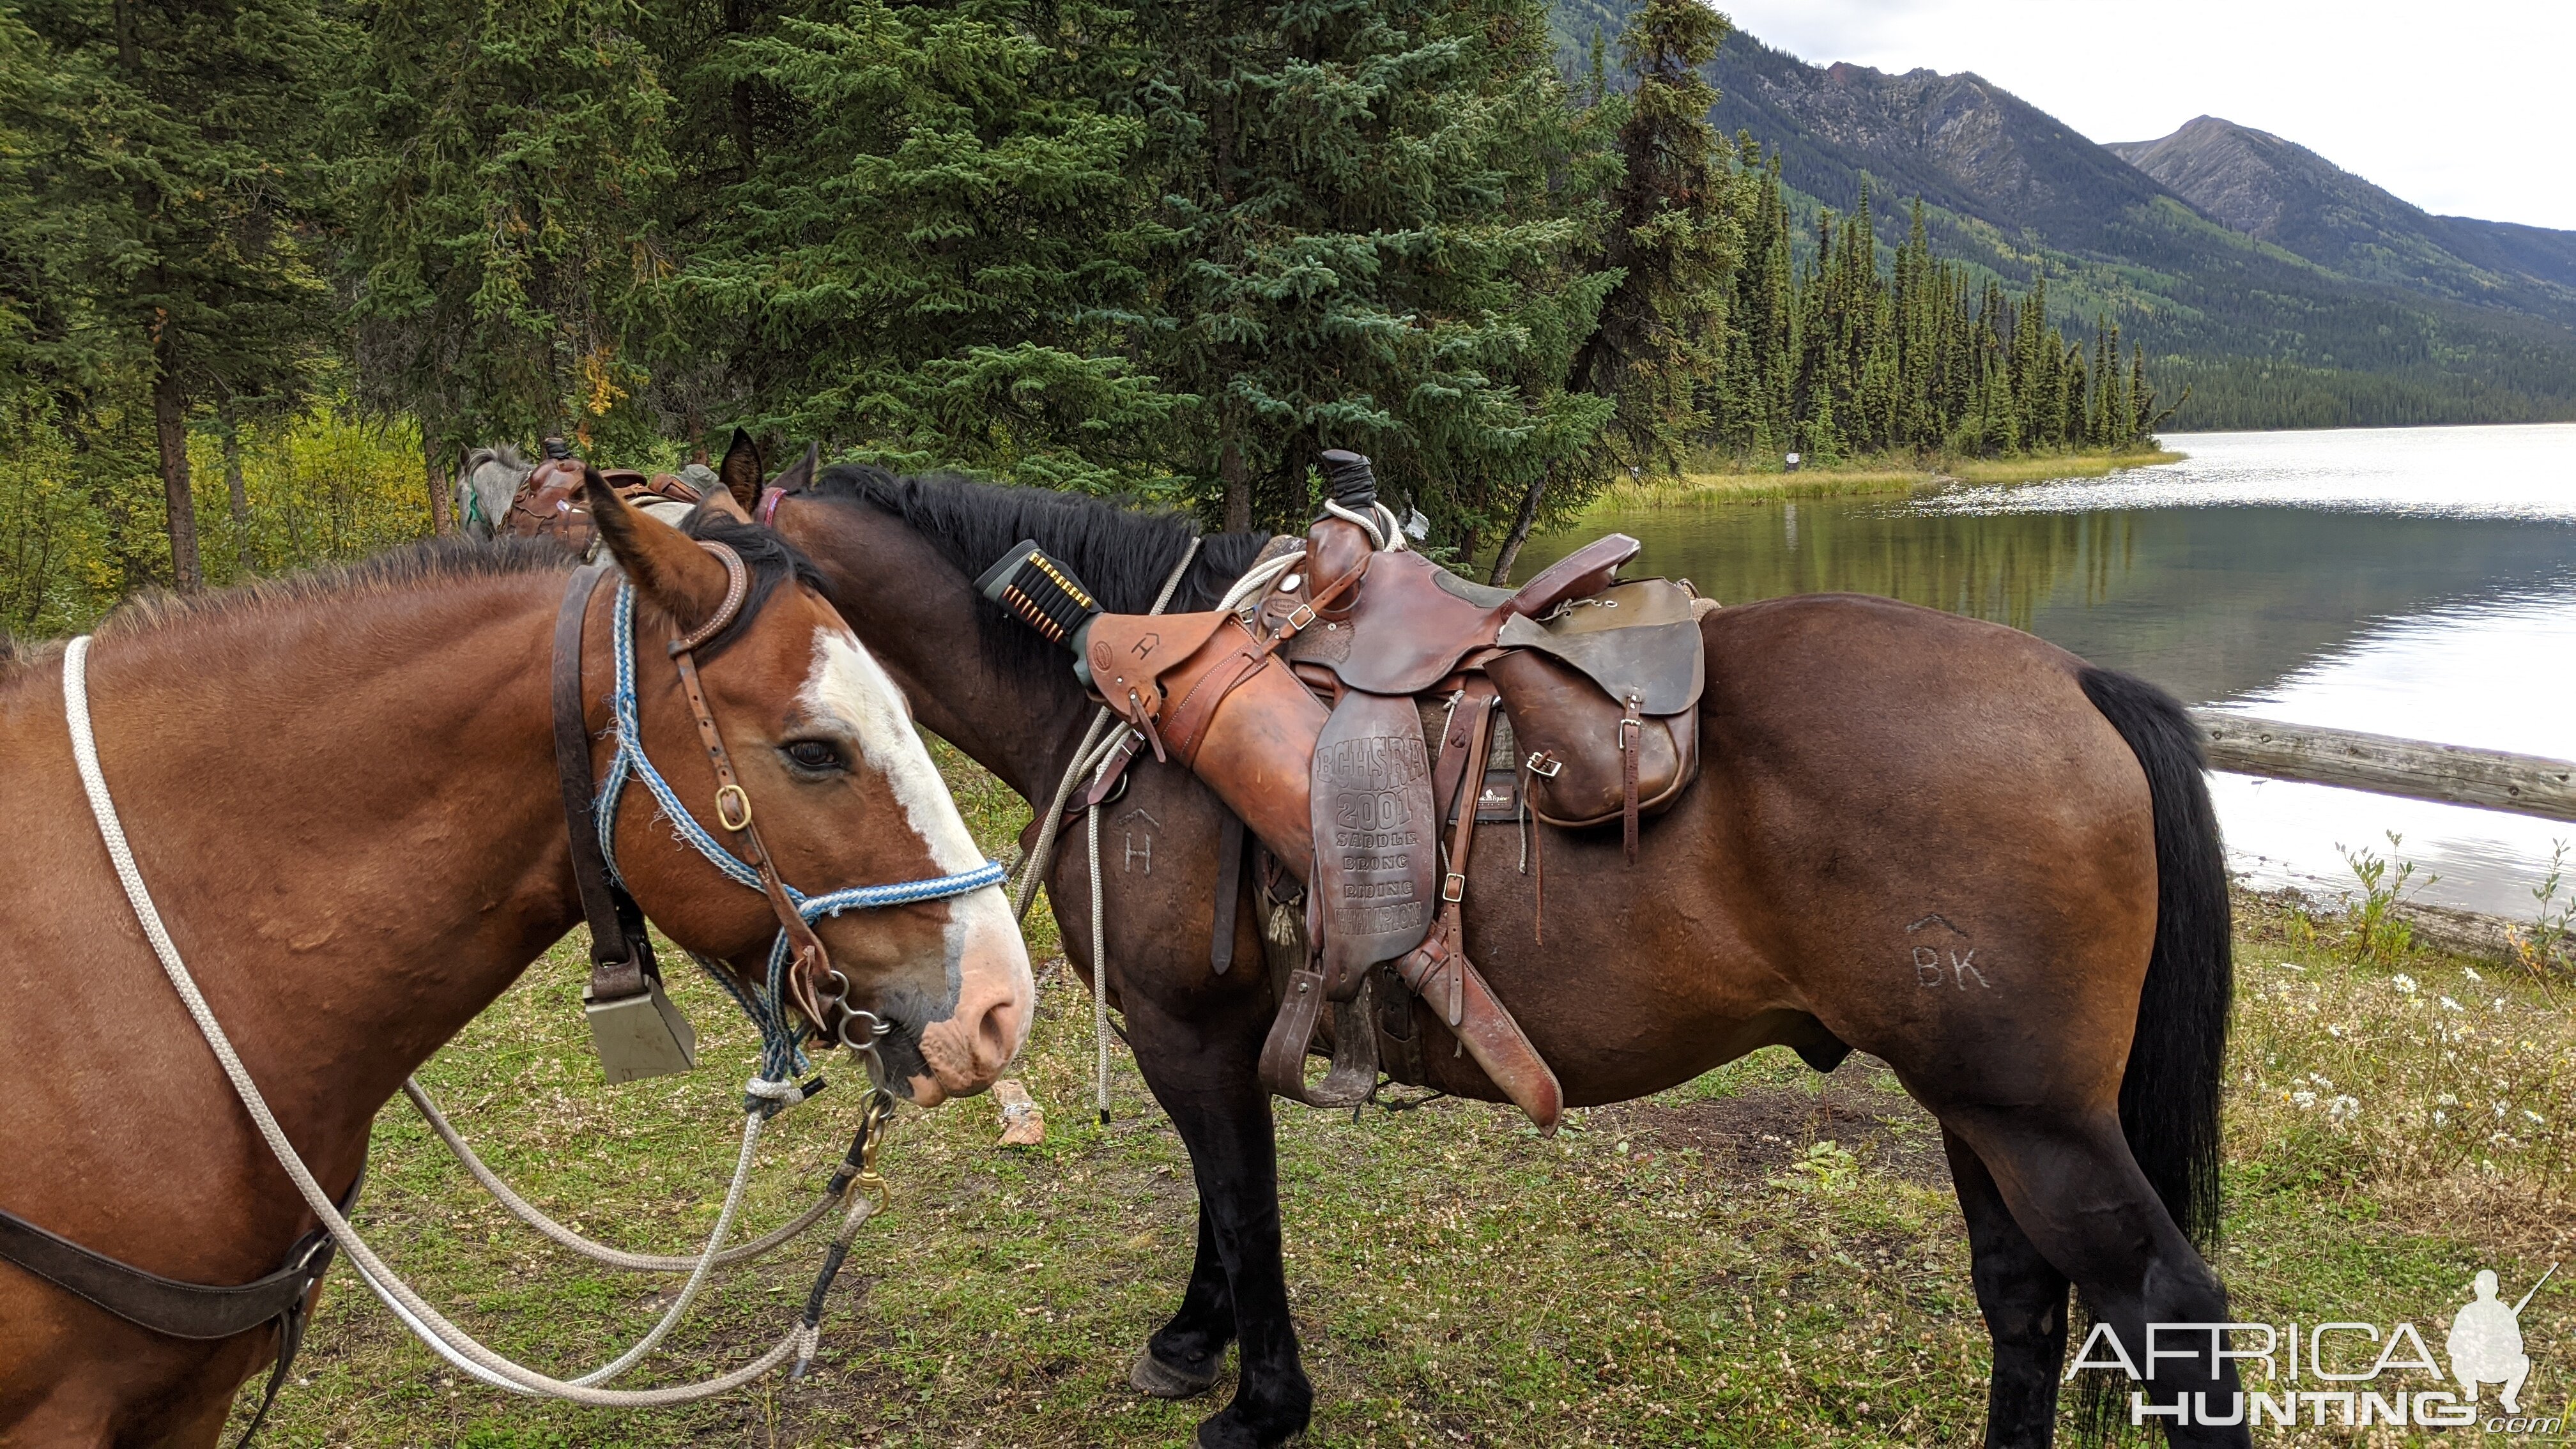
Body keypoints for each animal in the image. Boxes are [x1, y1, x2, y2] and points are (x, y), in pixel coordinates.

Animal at [752, 456, 2246, 1433]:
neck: (1112, 685)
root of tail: (2076, 682)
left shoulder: (1189, 1031)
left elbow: (1242, 1202)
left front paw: (1262, 1401)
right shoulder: (1212, 1037)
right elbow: (1222, 1209)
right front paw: (1192, 1340)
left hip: (2035, 1115)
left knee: (2171, 1318)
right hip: (1978, 1107)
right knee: (2025, 1302)